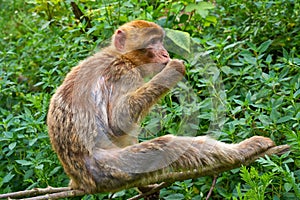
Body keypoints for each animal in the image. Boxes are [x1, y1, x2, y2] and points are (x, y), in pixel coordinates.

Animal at [47, 19, 290, 195]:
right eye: (153, 41)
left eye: (161, 40)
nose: (165, 53)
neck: (123, 56)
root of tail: (82, 179)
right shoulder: (124, 74)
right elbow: (117, 122)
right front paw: (172, 71)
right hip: (110, 168)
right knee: (167, 145)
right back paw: (244, 150)